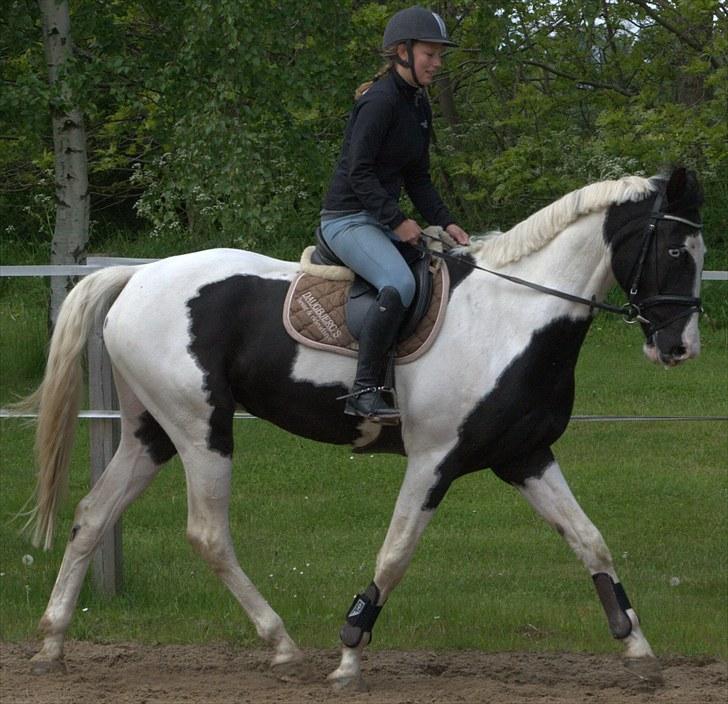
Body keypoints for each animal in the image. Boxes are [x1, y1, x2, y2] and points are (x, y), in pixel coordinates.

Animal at [24, 166, 704, 688]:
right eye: (675, 251)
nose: (680, 348)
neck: (512, 319)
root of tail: (136, 276)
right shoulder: (435, 460)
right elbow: (396, 551)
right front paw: (350, 654)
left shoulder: (526, 457)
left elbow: (591, 541)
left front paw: (637, 648)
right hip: (201, 430)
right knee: (208, 534)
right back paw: (281, 644)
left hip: (153, 434)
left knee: (92, 515)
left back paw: (52, 641)